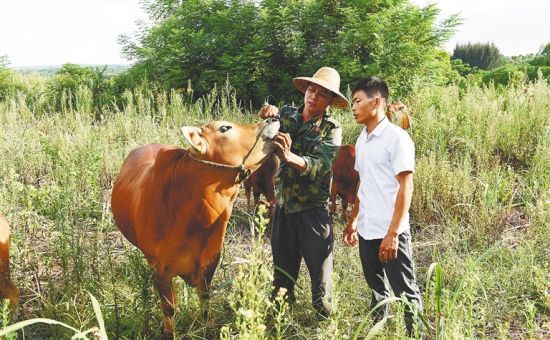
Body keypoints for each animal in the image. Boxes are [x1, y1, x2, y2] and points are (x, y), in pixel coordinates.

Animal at [111, 118, 280, 336]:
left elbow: (205, 301)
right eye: (224, 128)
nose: (273, 118)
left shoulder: (209, 263)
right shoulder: (161, 270)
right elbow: (169, 310)